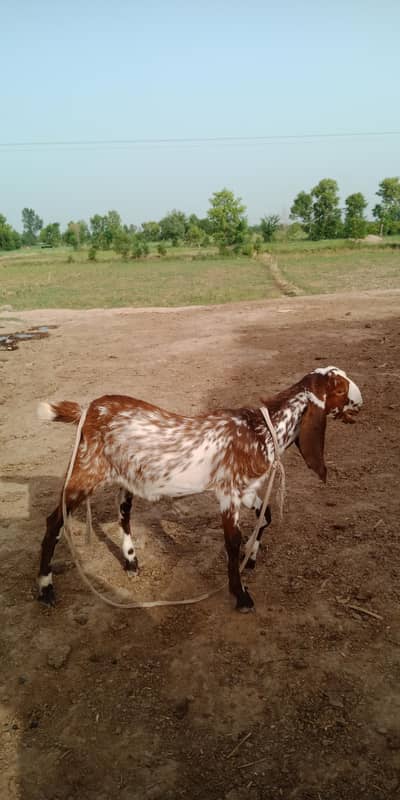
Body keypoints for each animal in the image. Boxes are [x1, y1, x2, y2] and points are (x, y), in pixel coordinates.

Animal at [37, 366, 362, 610]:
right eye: (340, 388)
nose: (361, 400)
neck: (262, 429)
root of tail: (88, 410)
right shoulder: (228, 493)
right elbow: (232, 542)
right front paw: (241, 595)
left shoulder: (246, 491)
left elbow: (266, 516)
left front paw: (251, 557)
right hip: (85, 472)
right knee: (54, 522)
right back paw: (45, 587)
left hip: (124, 478)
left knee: (123, 515)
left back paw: (130, 561)